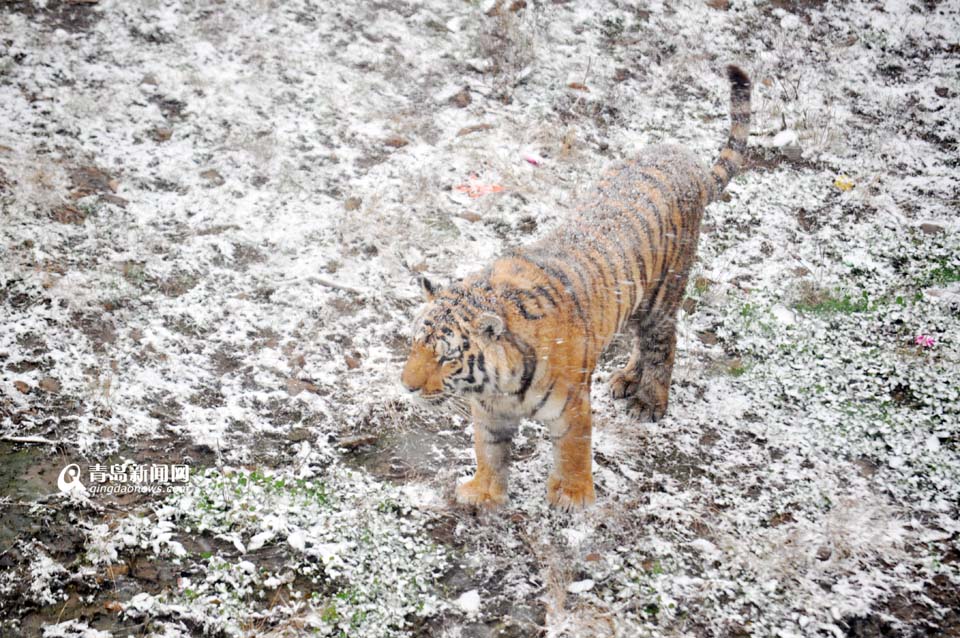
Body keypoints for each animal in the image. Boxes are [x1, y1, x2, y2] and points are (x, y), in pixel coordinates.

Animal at [398, 66, 752, 510]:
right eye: (415, 344)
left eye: (447, 357)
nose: (406, 387)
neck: (500, 385)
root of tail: (682, 156)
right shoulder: (490, 411)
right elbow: (489, 450)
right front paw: (483, 492)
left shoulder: (572, 405)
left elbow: (573, 449)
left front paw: (573, 496)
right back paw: (625, 379)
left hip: (662, 295)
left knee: (662, 344)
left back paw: (648, 402)